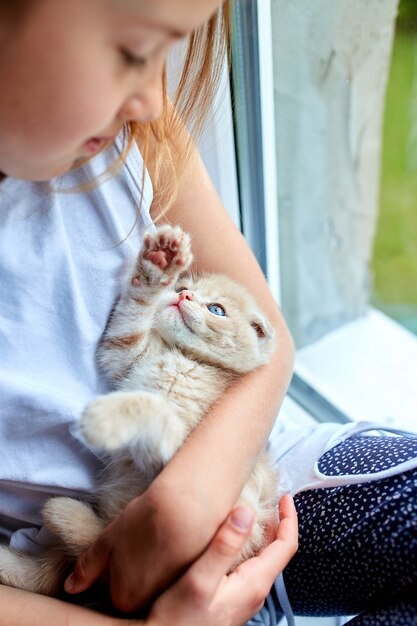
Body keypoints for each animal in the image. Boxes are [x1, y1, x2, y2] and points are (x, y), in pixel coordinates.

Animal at [0, 224, 280, 596]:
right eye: (184, 288)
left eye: (216, 309)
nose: (182, 297)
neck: (183, 357)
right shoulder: (124, 353)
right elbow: (130, 320)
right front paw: (157, 265)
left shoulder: (177, 451)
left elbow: (151, 405)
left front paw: (105, 416)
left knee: (90, 546)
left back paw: (64, 512)